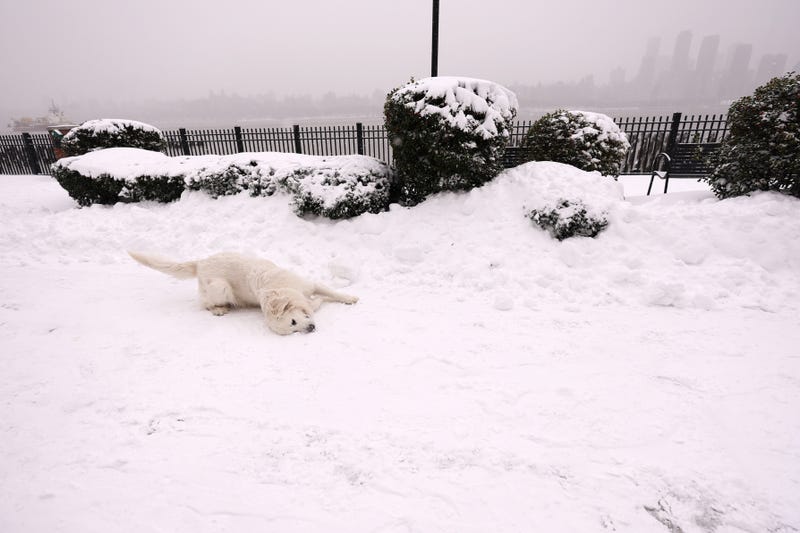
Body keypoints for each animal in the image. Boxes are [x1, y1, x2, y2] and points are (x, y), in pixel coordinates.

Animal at [128, 249, 360, 332]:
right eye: (293, 326)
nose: (310, 328)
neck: (282, 290)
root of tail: (200, 262)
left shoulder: (309, 284)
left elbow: (331, 292)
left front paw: (350, 297)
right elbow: (318, 302)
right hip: (220, 287)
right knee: (205, 304)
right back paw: (219, 309)